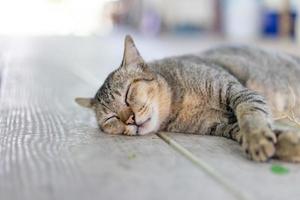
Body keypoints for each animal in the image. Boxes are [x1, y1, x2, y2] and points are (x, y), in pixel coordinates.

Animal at [75, 35, 300, 162]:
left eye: (128, 94)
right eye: (111, 118)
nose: (129, 119)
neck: (181, 104)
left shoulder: (239, 92)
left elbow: (250, 114)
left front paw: (257, 137)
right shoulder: (222, 125)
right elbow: (244, 131)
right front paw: (286, 144)